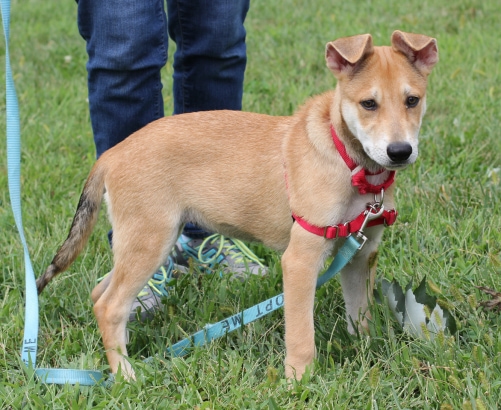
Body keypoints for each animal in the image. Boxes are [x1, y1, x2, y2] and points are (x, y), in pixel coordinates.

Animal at [37, 30, 438, 380]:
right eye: (368, 104)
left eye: (412, 100)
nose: (399, 152)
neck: (348, 161)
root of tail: (111, 154)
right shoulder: (301, 259)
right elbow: (301, 335)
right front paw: (298, 381)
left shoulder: (360, 255)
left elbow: (360, 315)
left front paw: (365, 354)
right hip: (150, 239)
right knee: (110, 306)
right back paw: (125, 376)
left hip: (138, 241)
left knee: (100, 294)